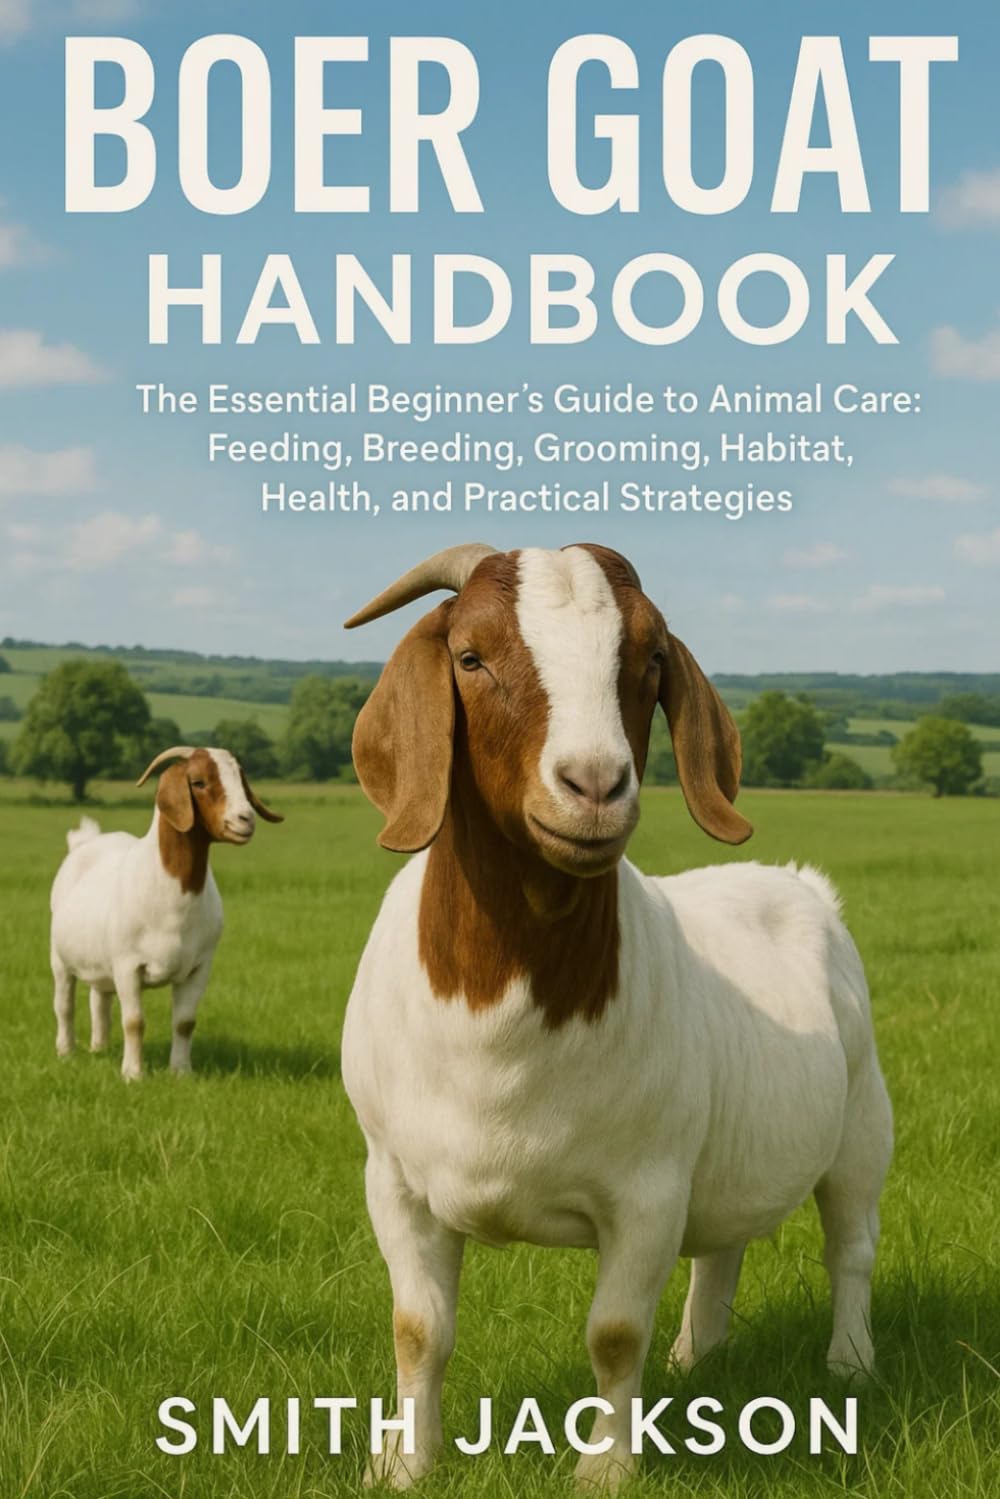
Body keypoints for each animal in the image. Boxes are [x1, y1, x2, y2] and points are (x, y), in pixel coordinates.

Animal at [50, 746, 282, 1079]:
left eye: (240, 778)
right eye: (198, 782)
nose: (245, 819)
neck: (172, 898)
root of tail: (86, 840)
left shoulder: (199, 966)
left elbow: (184, 1023)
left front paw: (181, 1072)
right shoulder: (127, 965)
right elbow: (134, 1022)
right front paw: (133, 1074)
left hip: (101, 963)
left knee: (99, 999)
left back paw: (99, 1048)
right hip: (59, 958)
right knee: (64, 1005)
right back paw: (66, 1052)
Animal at [341, 543, 893, 1490]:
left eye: (649, 659)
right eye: (470, 656)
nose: (594, 784)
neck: (504, 1017)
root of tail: (801, 884)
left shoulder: (648, 1191)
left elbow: (614, 1332)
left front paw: (604, 1469)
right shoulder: (395, 1178)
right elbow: (419, 1330)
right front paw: (404, 1463)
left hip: (861, 1120)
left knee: (850, 1245)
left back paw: (849, 1364)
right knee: (722, 1246)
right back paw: (696, 1357)